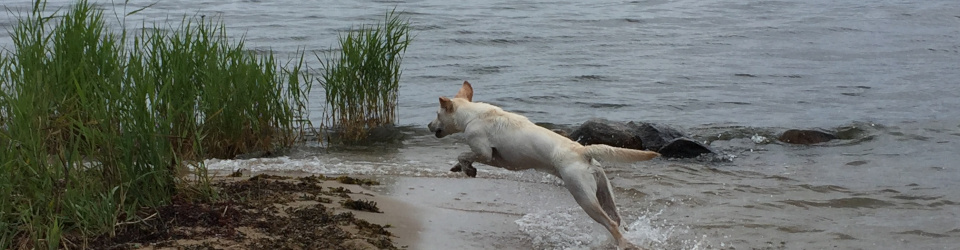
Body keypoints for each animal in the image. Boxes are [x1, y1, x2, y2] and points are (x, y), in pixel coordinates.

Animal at [428, 81, 660, 249]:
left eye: (437, 114)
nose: (429, 125)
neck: (472, 115)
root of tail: (582, 151)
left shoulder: (485, 152)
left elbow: (465, 154)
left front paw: (467, 168)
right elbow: (463, 157)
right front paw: (459, 168)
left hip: (583, 196)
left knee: (610, 224)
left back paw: (624, 244)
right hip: (603, 191)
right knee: (617, 219)